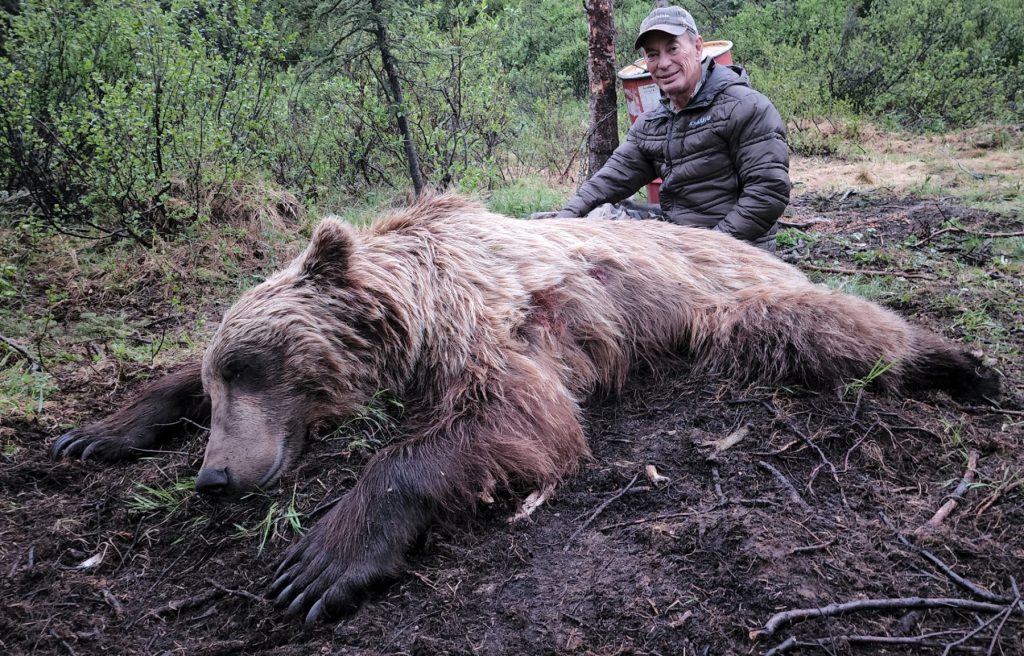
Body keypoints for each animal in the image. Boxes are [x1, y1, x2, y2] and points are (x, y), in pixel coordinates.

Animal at [49, 192, 999, 622]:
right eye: (223, 378)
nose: (214, 477)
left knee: (823, 323)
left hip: (725, 298)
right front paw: (95, 432)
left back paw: (957, 364)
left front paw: (323, 561)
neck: (417, 302)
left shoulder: (494, 326)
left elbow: (515, 419)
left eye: (254, 366)